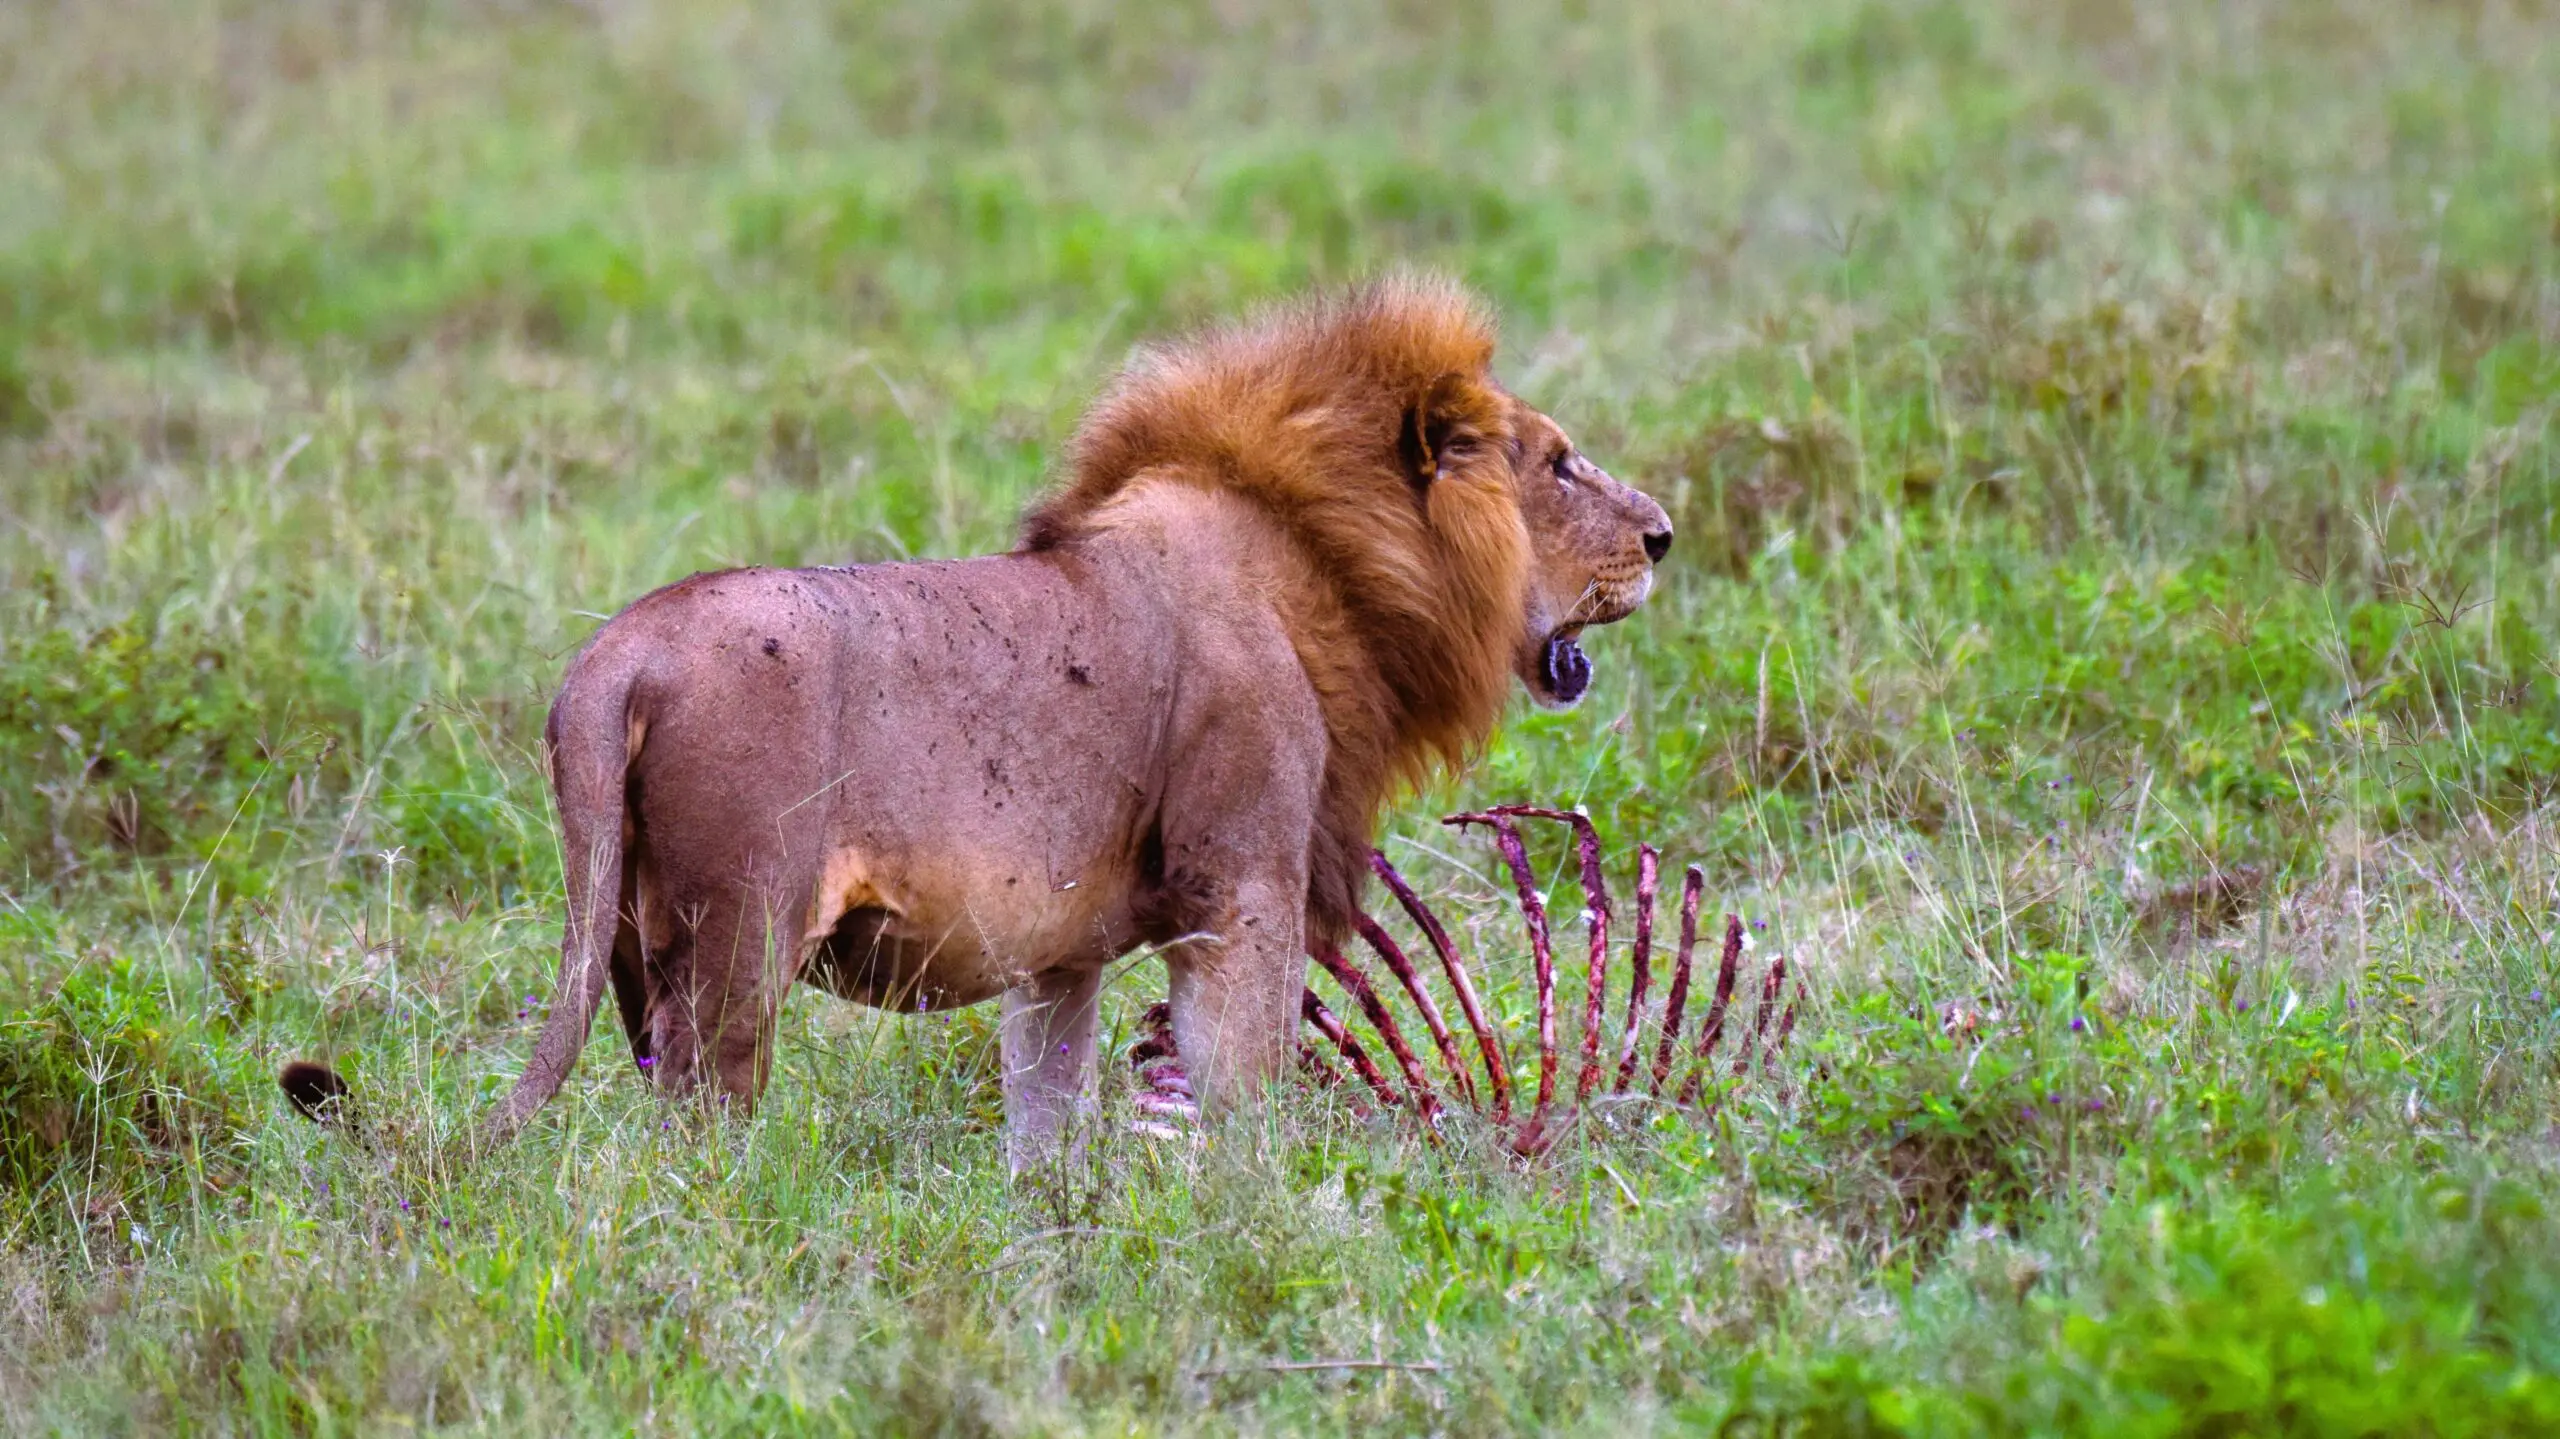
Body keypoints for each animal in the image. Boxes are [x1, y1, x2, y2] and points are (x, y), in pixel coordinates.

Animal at [282, 275, 1672, 1167]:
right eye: (1558, 463)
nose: (1664, 534)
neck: (1330, 568)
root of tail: (614, 655)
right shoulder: (1244, 886)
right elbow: (1246, 1104)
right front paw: (1251, 1229)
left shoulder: (1059, 948)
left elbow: (1045, 1118)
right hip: (738, 939)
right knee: (695, 1131)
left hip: (622, 940)